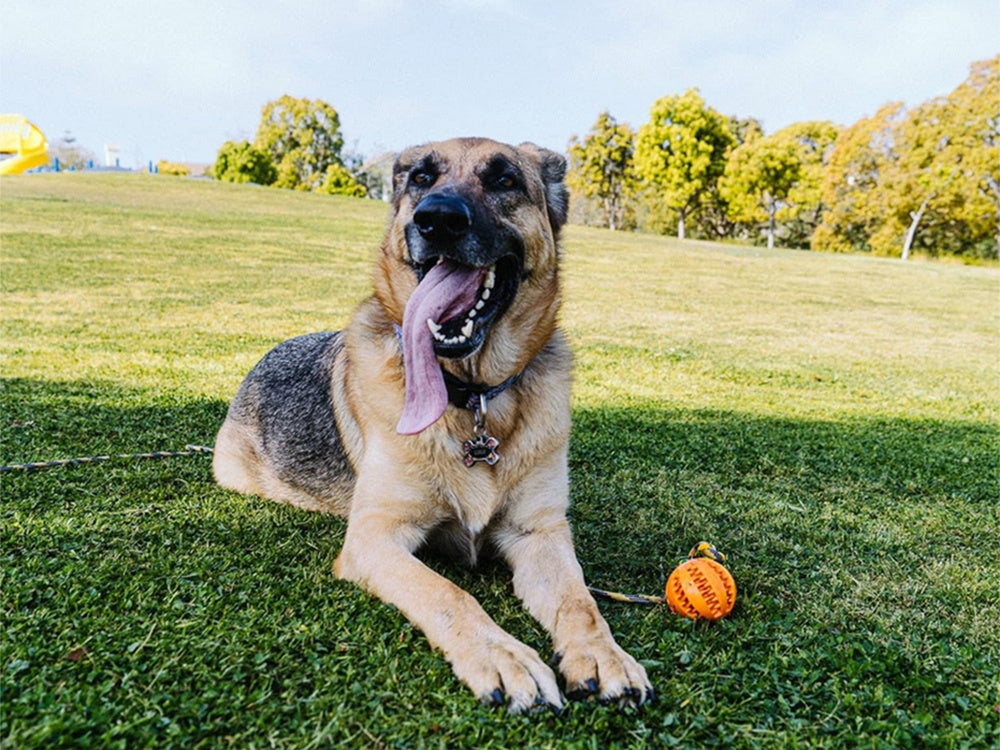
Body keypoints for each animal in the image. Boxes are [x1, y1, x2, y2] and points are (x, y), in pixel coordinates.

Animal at [214, 140, 652, 712]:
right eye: (422, 177)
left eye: (505, 180)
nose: (437, 219)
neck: (471, 399)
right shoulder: (375, 538)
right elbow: (449, 593)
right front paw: (502, 655)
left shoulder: (539, 534)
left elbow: (579, 602)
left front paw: (603, 655)